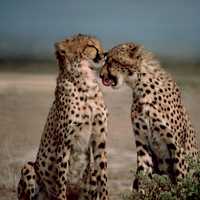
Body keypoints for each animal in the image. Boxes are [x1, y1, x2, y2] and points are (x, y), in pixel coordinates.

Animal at [17, 34, 108, 200]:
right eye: (91, 46)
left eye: (99, 44)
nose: (105, 54)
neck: (86, 84)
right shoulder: (64, 144)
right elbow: (61, 181)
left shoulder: (99, 139)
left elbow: (103, 178)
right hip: (29, 168)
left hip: (89, 175)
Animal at [100, 42, 198, 189]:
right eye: (106, 60)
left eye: (113, 61)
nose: (100, 76)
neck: (141, 87)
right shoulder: (143, 144)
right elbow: (142, 176)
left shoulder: (177, 148)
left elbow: (182, 178)